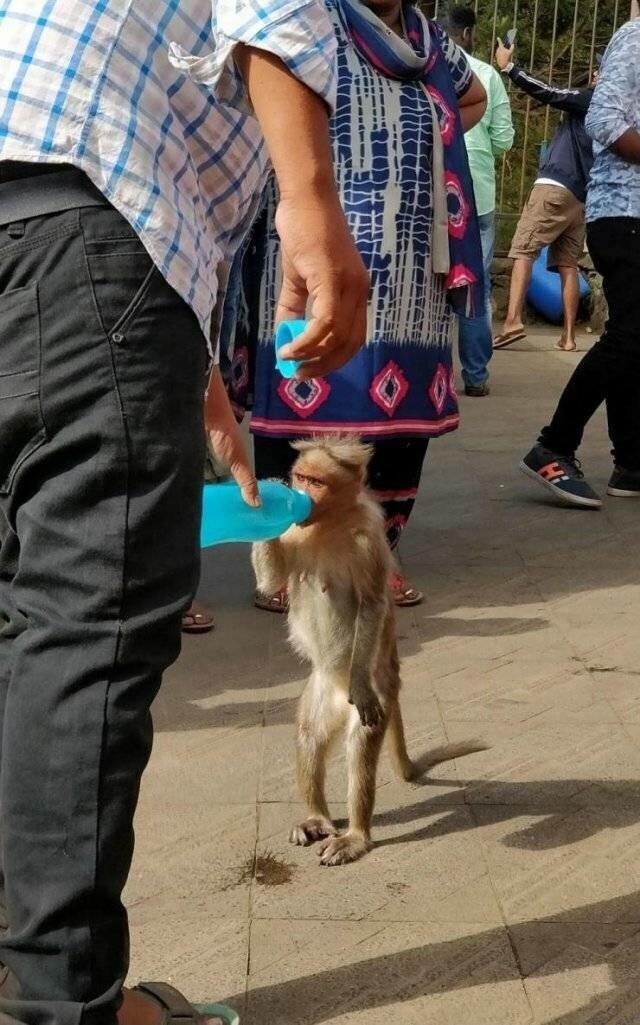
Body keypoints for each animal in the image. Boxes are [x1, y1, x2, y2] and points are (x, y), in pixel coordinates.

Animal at [250, 434, 414, 865]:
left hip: (376, 693)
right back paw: (317, 818)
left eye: (316, 482)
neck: (328, 523)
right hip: (322, 690)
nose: (300, 494)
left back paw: (355, 835)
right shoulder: (294, 532)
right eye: (301, 477)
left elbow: (372, 605)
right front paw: (262, 502)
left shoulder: (367, 541)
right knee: (309, 734)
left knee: (360, 743)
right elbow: (271, 583)